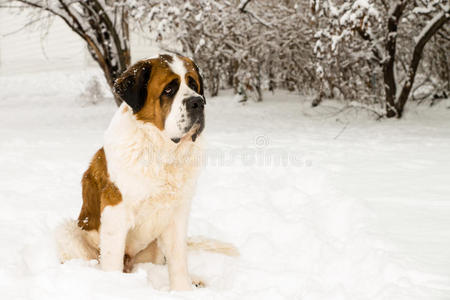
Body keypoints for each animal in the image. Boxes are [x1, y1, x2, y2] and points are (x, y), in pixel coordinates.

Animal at [55, 54, 237, 290]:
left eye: (193, 84)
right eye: (169, 89)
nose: (198, 102)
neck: (162, 152)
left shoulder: (177, 216)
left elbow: (179, 262)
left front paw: (183, 290)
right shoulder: (115, 211)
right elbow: (112, 260)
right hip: (69, 231)